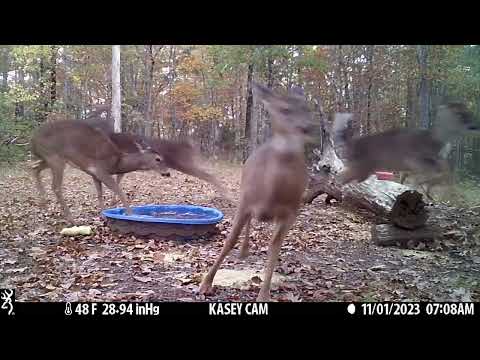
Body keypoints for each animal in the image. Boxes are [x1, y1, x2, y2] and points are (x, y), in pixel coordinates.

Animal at [30, 119, 169, 224]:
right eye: (158, 159)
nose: (167, 173)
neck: (116, 163)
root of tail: (33, 140)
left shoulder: (94, 174)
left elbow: (99, 194)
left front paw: (103, 215)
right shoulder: (101, 170)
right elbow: (118, 190)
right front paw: (131, 214)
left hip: (48, 158)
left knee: (34, 168)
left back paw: (43, 204)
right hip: (55, 157)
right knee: (56, 186)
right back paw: (71, 219)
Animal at [198, 83, 316, 302]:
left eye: (308, 109)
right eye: (284, 110)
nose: (308, 128)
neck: (271, 194)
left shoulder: (292, 211)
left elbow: (274, 247)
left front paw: (263, 295)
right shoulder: (245, 201)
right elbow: (230, 240)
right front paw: (205, 284)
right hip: (243, 191)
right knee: (248, 222)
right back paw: (243, 251)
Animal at [336, 102, 478, 197]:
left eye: (470, 113)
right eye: (461, 114)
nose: (475, 126)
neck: (437, 140)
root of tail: (352, 143)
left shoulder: (426, 163)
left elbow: (444, 172)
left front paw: (425, 189)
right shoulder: (412, 158)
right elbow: (437, 172)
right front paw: (422, 186)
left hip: (364, 169)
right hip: (361, 167)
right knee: (340, 177)